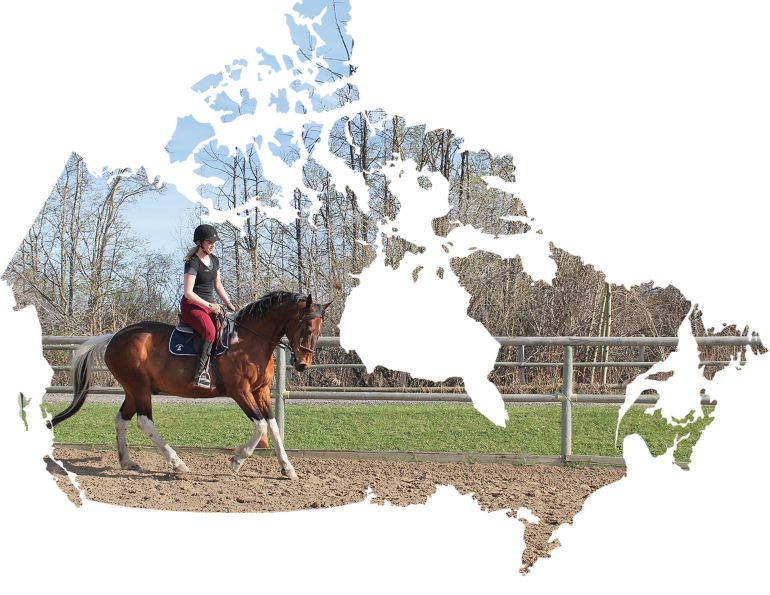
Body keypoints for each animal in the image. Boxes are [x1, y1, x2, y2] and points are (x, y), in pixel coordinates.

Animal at [48, 291, 330, 479]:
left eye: (319, 328)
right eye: (306, 326)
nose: (303, 364)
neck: (248, 341)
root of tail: (115, 336)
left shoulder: (260, 392)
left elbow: (272, 426)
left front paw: (287, 468)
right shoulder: (240, 392)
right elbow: (260, 425)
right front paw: (236, 461)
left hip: (133, 390)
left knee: (122, 420)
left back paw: (128, 462)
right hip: (140, 389)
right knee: (145, 422)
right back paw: (177, 463)